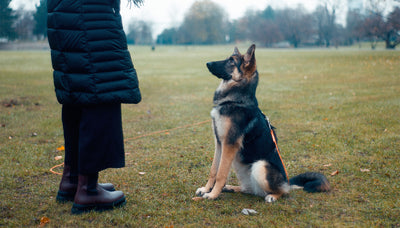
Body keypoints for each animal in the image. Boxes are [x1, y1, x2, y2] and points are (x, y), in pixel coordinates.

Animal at [195, 44, 330, 203]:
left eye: (231, 61)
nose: (207, 63)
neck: (236, 100)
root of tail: (287, 182)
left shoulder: (229, 144)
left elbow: (221, 174)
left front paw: (213, 194)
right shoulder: (220, 143)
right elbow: (213, 170)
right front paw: (206, 189)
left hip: (260, 166)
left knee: (283, 191)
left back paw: (273, 196)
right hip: (240, 166)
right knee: (249, 189)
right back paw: (232, 188)